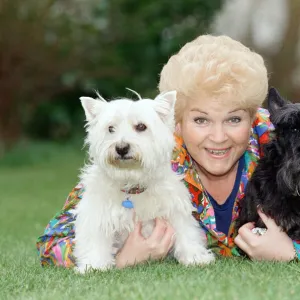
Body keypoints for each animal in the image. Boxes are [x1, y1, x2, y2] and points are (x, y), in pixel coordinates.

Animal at [74, 88, 216, 272]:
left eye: (141, 126)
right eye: (110, 128)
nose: (121, 148)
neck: (133, 182)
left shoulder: (175, 209)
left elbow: (186, 232)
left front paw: (195, 257)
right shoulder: (98, 215)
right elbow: (95, 240)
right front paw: (94, 265)